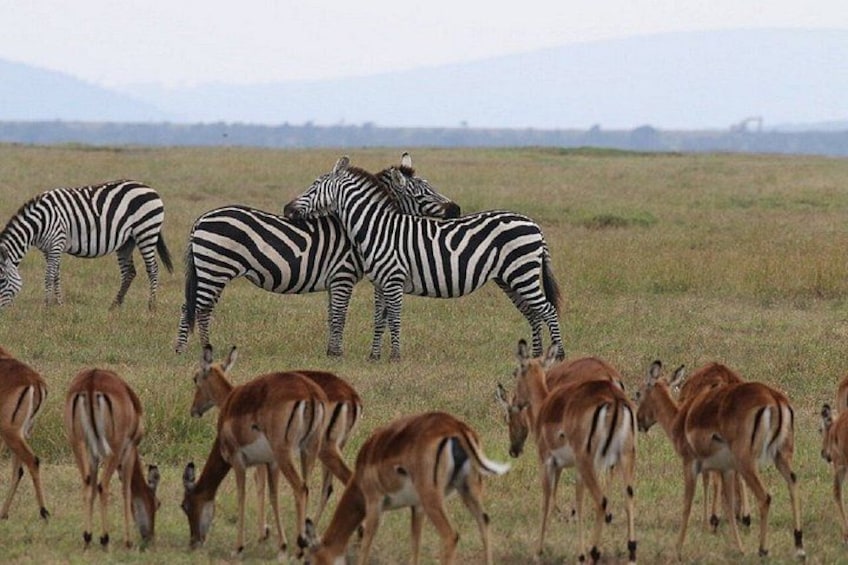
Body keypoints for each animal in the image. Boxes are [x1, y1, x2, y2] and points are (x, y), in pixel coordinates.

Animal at [0, 179, 173, 310]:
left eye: (2, 281)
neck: (40, 221)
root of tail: (149, 188)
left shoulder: (57, 242)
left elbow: (49, 276)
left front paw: (47, 306)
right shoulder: (48, 249)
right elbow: (56, 275)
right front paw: (59, 304)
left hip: (146, 231)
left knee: (152, 269)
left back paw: (151, 306)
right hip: (127, 241)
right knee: (129, 272)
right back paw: (115, 306)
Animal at [174, 153, 460, 356]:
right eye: (423, 193)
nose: (456, 210)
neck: (360, 226)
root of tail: (201, 219)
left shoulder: (335, 280)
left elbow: (332, 315)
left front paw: (330, 350)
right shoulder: (343, 276)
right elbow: (340, 315)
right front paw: (337, 354)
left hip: (210, 269)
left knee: (194, 306)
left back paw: (184, 349)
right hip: (215, 268)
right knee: (199, 307)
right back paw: (201, 349)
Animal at [282, 156, 565, 361]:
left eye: (314, 186)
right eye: (423, 191)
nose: (287, 209)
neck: (377, 228)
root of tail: (533, 224)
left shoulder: (394, 279)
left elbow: (394, 318)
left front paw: (395, 357)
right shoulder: (380, 283)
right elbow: (380, 319)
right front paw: (374, 356)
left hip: (523, 274)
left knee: (548, 310)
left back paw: (559, 356)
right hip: (510, 278)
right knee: (533, 313)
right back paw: (536, 357)